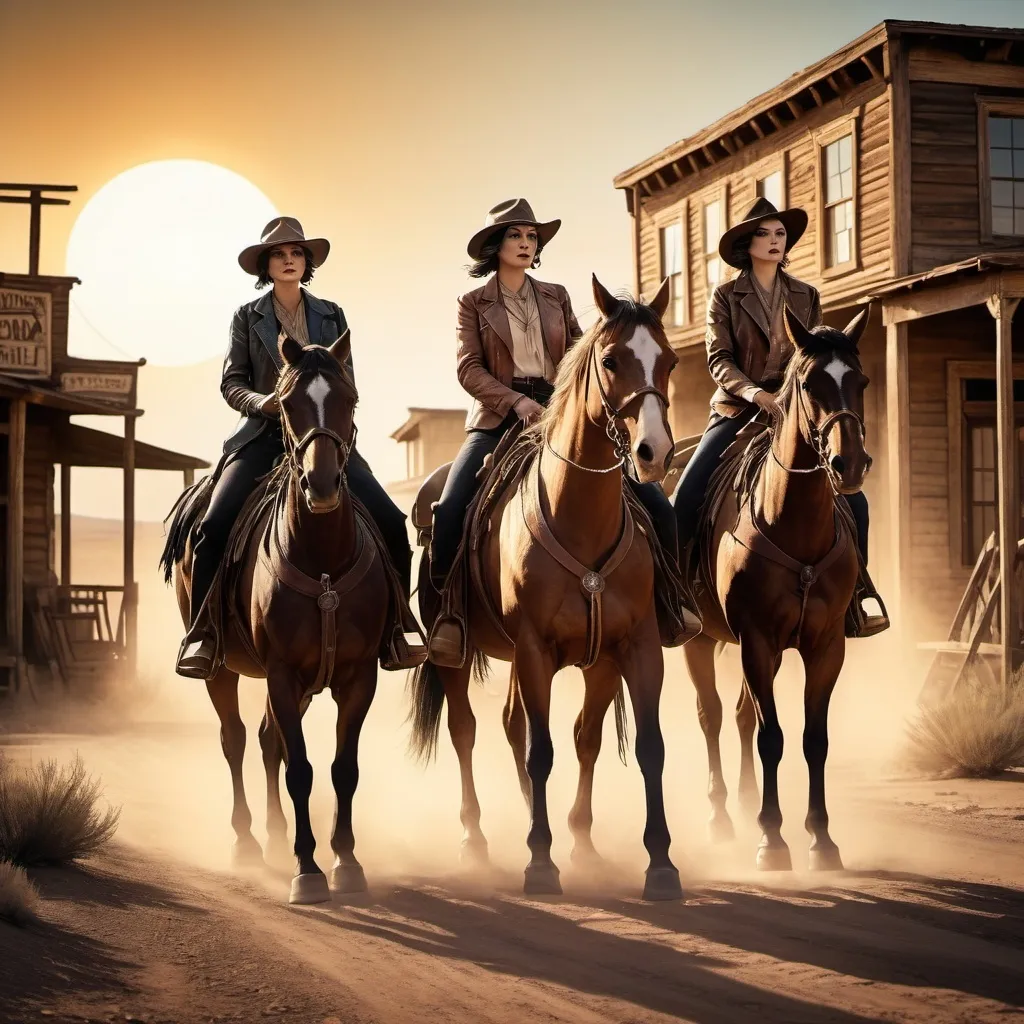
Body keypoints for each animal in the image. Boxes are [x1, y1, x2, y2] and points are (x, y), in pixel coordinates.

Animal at [161, 329, 389, 905]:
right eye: (287, 404)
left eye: (349, 398)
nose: (321, 485)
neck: (323, 559)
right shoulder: (283, 675)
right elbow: (301, 769)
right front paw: (308, 870)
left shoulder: (357, 677)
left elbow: (342, 769)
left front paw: (346, 860)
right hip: (221, 670)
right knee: (237, 740)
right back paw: (246, 843)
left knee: (267, 742)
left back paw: (277, 834)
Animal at [411, 276, 684, 901]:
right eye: (611, 360)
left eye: (670, 361)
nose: (654, 453)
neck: (578, 517)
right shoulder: (536, 650)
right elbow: (541, 750)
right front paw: (541, 862)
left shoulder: (631, 649)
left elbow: (635, 746)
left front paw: (654, 862)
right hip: (456, 656)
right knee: (467, 731)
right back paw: (477, 841)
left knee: (529, 727)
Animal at [679, 305, 872, 872]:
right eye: (810, 384)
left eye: (860, 381)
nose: (850, 465)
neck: (794, 523)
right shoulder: (758, 641)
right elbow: (772, 737)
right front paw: (772, 840)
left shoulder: (825, 646)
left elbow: (813, 740)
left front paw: (822, 839)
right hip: (704, 642)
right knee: (713, 717)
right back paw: (722, 819)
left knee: (741, 716)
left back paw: (744, 808)